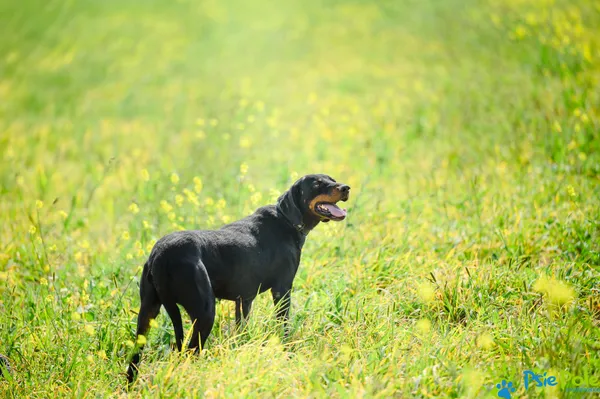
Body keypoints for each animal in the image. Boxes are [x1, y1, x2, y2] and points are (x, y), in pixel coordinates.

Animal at [128, 175, 350, 384]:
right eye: (317, 184)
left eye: (332, 179)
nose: (346, 188)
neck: (286, 219)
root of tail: (160, 256)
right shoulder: (282, 290)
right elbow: (284, 327)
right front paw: (287, 352)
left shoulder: (243, 299)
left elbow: (241, 329)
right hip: (205, 312)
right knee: (191, 352)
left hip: (147, 312)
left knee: (135, 357)